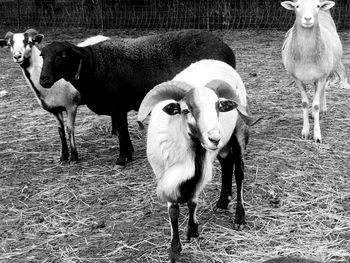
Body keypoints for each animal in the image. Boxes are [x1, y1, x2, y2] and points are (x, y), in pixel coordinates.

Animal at [0, 29, 109, 164]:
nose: (17, 56)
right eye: (10, 44)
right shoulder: (55, 110)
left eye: (29, 42)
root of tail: (103, 36)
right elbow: (60, 131)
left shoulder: (71, 106)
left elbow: (69, 129)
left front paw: (74, 157)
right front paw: (63, 157)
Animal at [37, 28, 235, 167]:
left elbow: (121, 130)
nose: (43, 79)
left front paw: (123, 158)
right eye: (42, 55)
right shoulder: (118, 108)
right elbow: (121, 130)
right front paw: (129, 152)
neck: (93, 66)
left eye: (62, 55)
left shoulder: (117, 105)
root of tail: (228, 49)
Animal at [137, 59, 258, 263]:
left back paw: (239, 218)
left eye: (218, 107)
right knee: (227, 163)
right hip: (223, 147)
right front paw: (175, 250)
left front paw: (192, 231)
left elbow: (192, 201)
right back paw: (222, 202)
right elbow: (173, 211)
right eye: (185, 110)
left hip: (239, 132)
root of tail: (216, 61)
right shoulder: (163, 175)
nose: (215, 138)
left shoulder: (201, 171)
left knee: (239, 172)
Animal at [284, 0, 348, 144]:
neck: (306, 56)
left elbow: (316, 105)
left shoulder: (322, 76)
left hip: (327, 70)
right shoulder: (296, 78)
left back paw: (323, 108)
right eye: (297, 6)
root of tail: (325, 12)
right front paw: (305, 131)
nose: (308, 19)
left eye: (317, 6)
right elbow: (305, 103)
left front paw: (317, 135)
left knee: (322, 91)